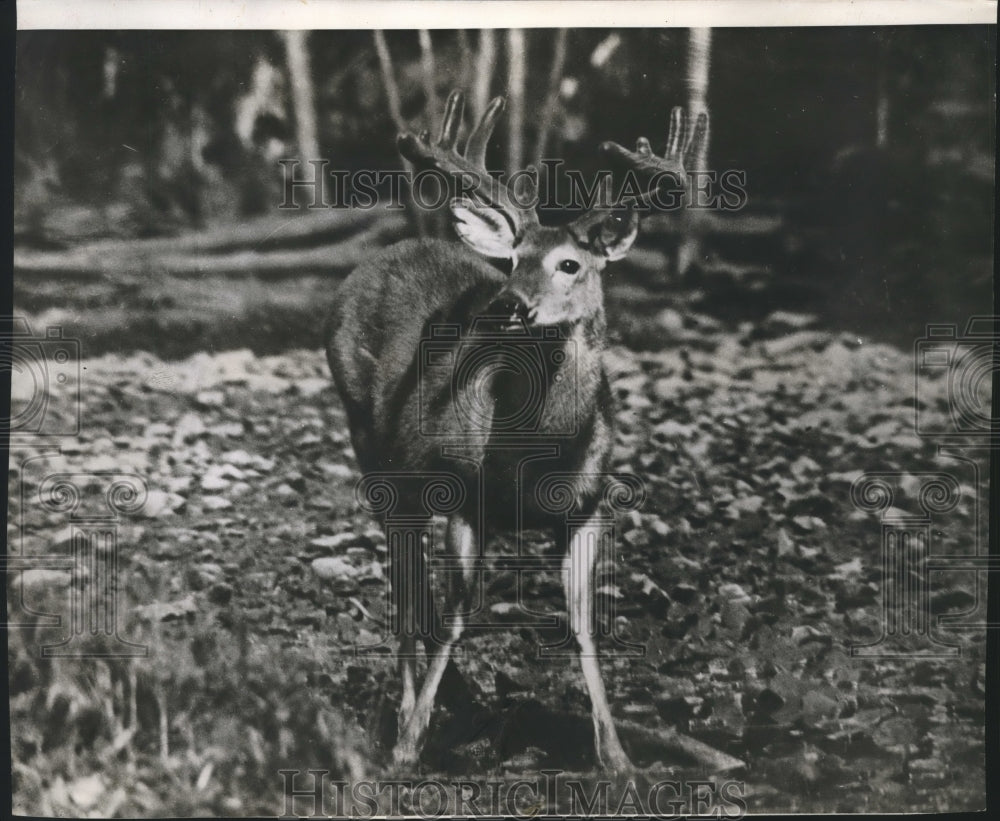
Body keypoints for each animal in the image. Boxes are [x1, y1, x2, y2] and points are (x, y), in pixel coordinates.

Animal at [326, 90, 707, 772]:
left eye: (570, 263)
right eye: (512, 260)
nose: (509, 304)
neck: (535, 456)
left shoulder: (589, 504)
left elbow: (584, 625)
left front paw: (619, 758)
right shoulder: (460, 493)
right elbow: (457, 615)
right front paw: (410, 743)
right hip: (373, 450)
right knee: (402, 581)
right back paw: (406, 715)